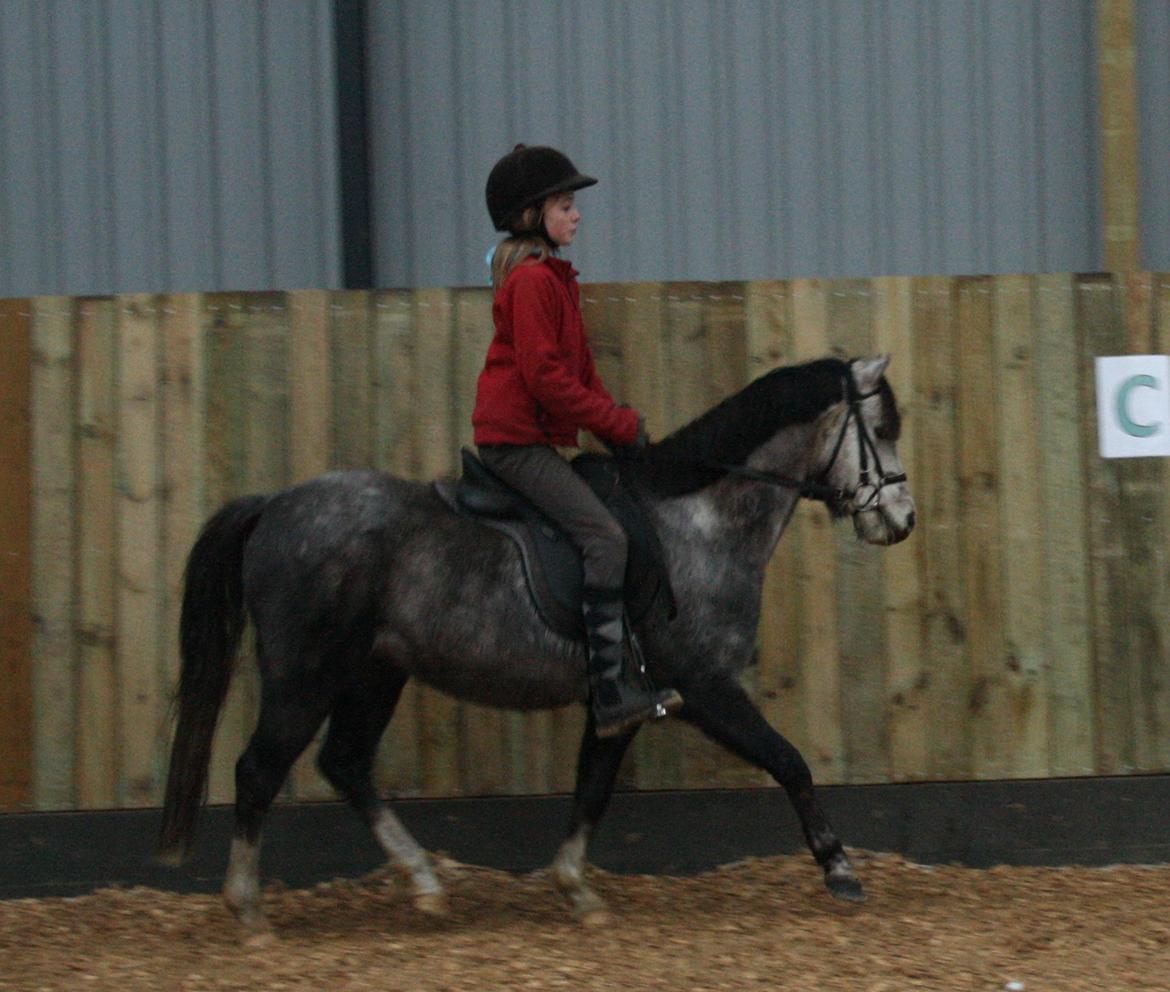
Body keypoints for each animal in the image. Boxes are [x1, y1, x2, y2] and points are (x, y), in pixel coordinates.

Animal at [158, 354, 915, 938]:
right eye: (879, 430)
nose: (902, 521)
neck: (700, 520)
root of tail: (274, 505)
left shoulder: (624, 702)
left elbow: (592, 789)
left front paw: (576, 889)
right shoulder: (705, 686)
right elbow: (790, 763)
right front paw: (840, 869)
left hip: (375, 673)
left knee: (344, 762)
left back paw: (424, 882)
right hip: (304, 675)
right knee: (259, 770)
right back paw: (250, 912)